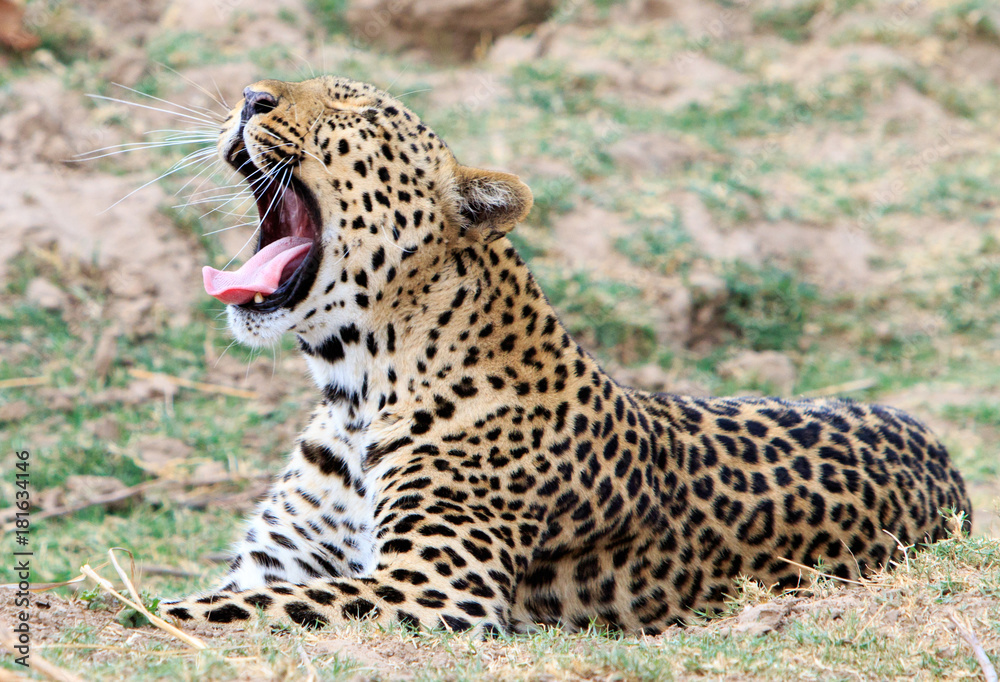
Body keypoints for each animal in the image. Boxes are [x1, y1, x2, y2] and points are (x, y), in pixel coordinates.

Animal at [164, 75, 972, 636]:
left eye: (357, 115)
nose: (251, 96)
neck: (354, 390)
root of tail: (945, 460)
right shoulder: (274, 561)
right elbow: (243, 596)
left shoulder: (436, 587)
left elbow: (226, 610)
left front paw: (147, 614)